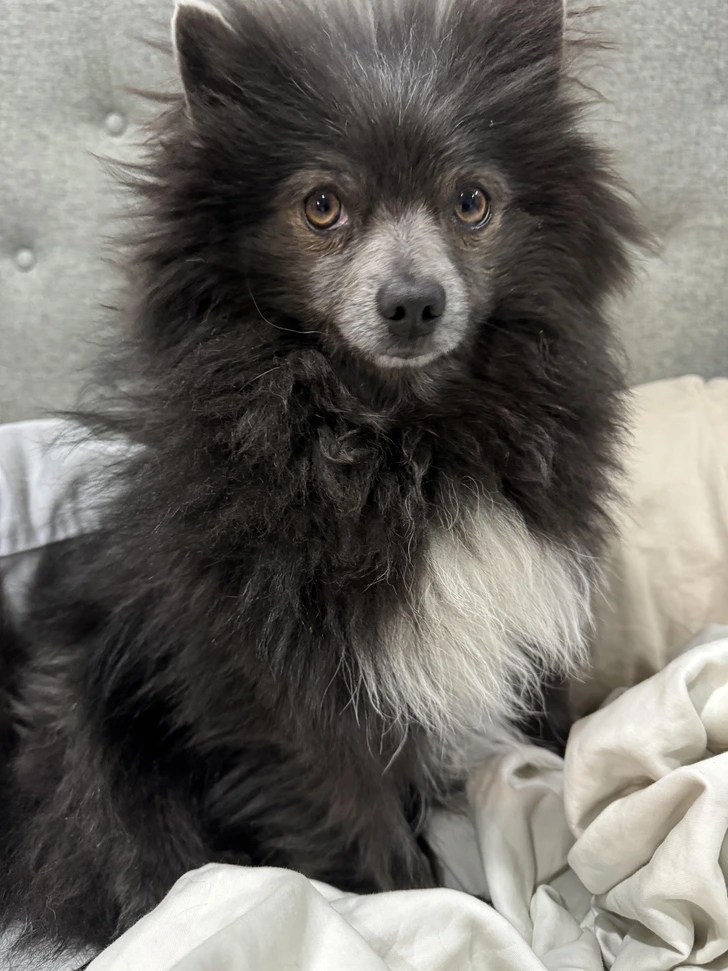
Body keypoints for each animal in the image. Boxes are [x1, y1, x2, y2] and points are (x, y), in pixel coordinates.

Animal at [0, 0, 644, 961]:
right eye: (322, 206)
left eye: (472, 202)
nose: (412, 301)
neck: (398, 436)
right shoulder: (283, 683)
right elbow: (357, 819)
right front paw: (422, 910)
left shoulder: (532, 588)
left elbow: (551, 726)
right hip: (93, 742)